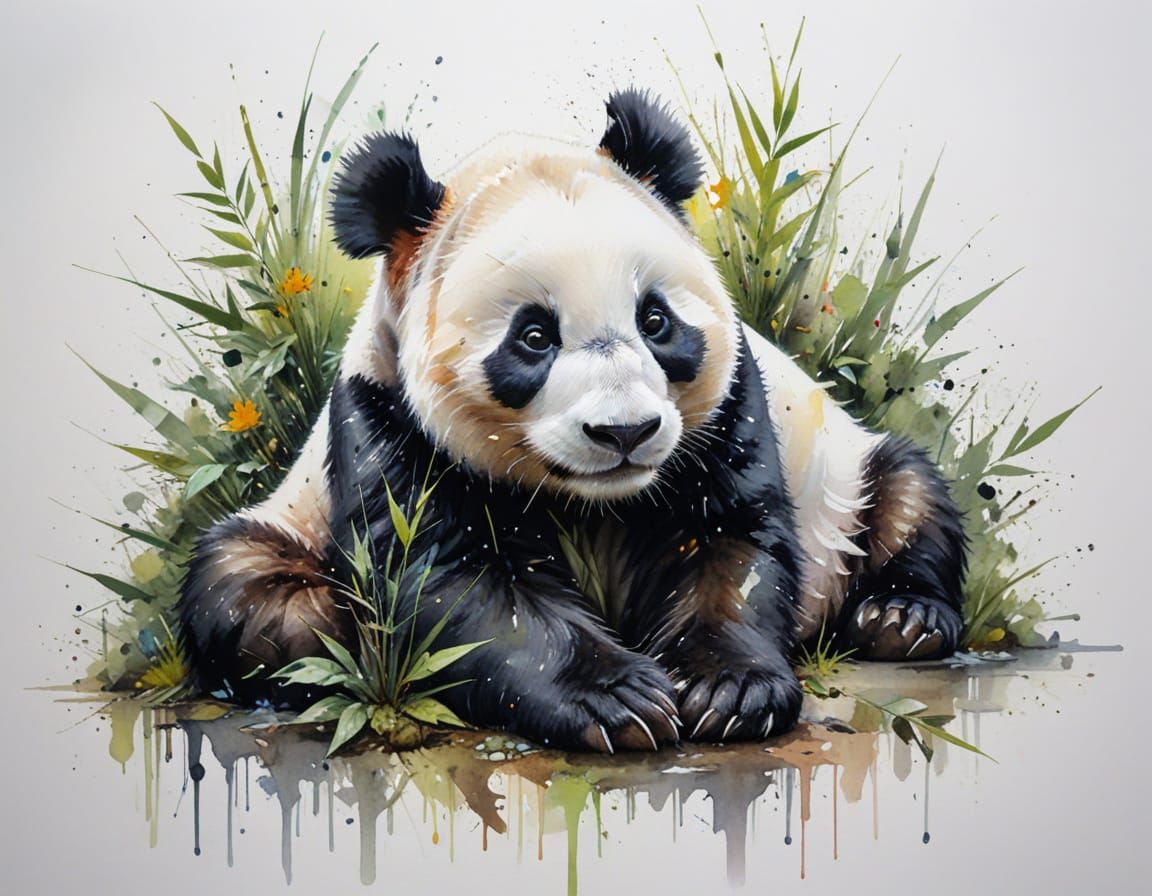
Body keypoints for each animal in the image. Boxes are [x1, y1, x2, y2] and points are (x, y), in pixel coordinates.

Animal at [179, 89, 966, 753]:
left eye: (656, 320)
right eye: (533, 337)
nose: (625, 433)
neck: (594, 501)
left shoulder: (731, 408)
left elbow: (731, 540)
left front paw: (728, 690)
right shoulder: (386, 421)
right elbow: (451, 579)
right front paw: (615, 699)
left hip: (843, 468)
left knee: (907, 490)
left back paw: (902, 618)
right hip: (291, 522)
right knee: (243, 590)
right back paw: (327, 633)